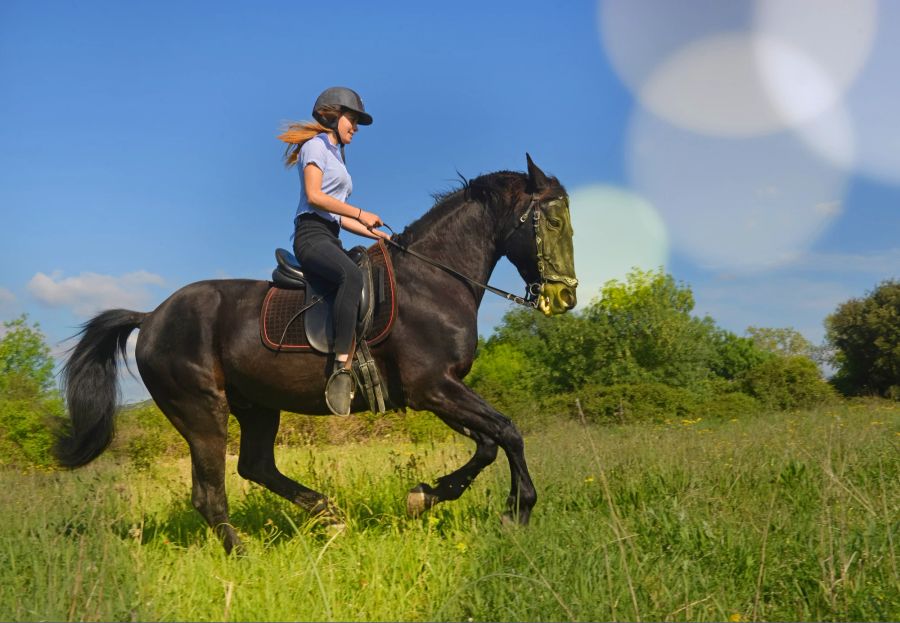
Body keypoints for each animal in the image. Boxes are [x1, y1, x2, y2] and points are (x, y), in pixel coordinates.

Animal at [58, 154, 576, 552]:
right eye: (552, 221)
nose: (565, 296)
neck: (434, 280)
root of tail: (151, 316)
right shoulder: (433, 386)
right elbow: (508, 432)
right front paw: (518, 511)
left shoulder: (435, 390)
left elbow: (488, 442)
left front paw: (427, 494)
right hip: (202, 410)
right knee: (210, 493)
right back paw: (245, 554)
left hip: (257, 406)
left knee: (255, 466)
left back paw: (329, 515)